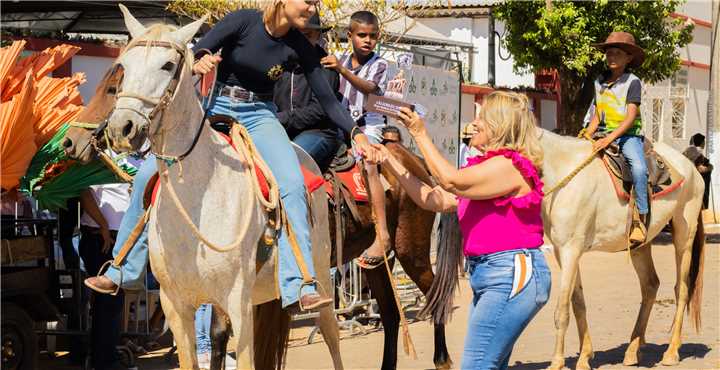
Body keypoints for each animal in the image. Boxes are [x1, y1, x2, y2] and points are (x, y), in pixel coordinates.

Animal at [106, 6, 344, 370]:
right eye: (124, 65)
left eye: (168, 65)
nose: (122, 127)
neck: (197, 200)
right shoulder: (176, 307)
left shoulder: (238, 302)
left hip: (320, 280)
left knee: (331, 335)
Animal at [540, 129, 704, 370]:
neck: (564, 172)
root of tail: (691, 169)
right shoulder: (565, 252)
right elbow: (578, 302)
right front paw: (585, 356)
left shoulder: (571, 249)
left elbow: (562, 309)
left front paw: (557, 362)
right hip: (639, 245)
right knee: (650, 285)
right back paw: (633, 350)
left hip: (684, 235)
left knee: (681, 289)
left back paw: (671, 352)